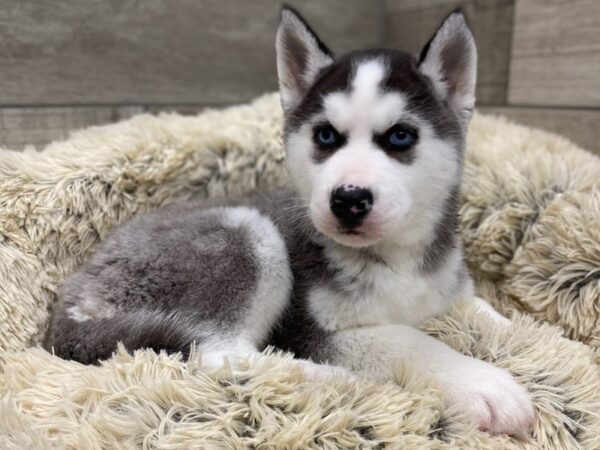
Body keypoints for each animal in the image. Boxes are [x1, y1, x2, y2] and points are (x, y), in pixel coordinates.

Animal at [48, 6, 536, 436]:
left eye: (400, 136)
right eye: (326, 136)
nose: (348, 199)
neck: (396, 258)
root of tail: (71, 297)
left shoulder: (450, 289)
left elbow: (489, 313)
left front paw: (535, 336)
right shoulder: (315, 329)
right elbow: (408, 340)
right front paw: (482, 383)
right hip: (246, 236)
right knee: (216, 356)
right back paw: (332, 382)